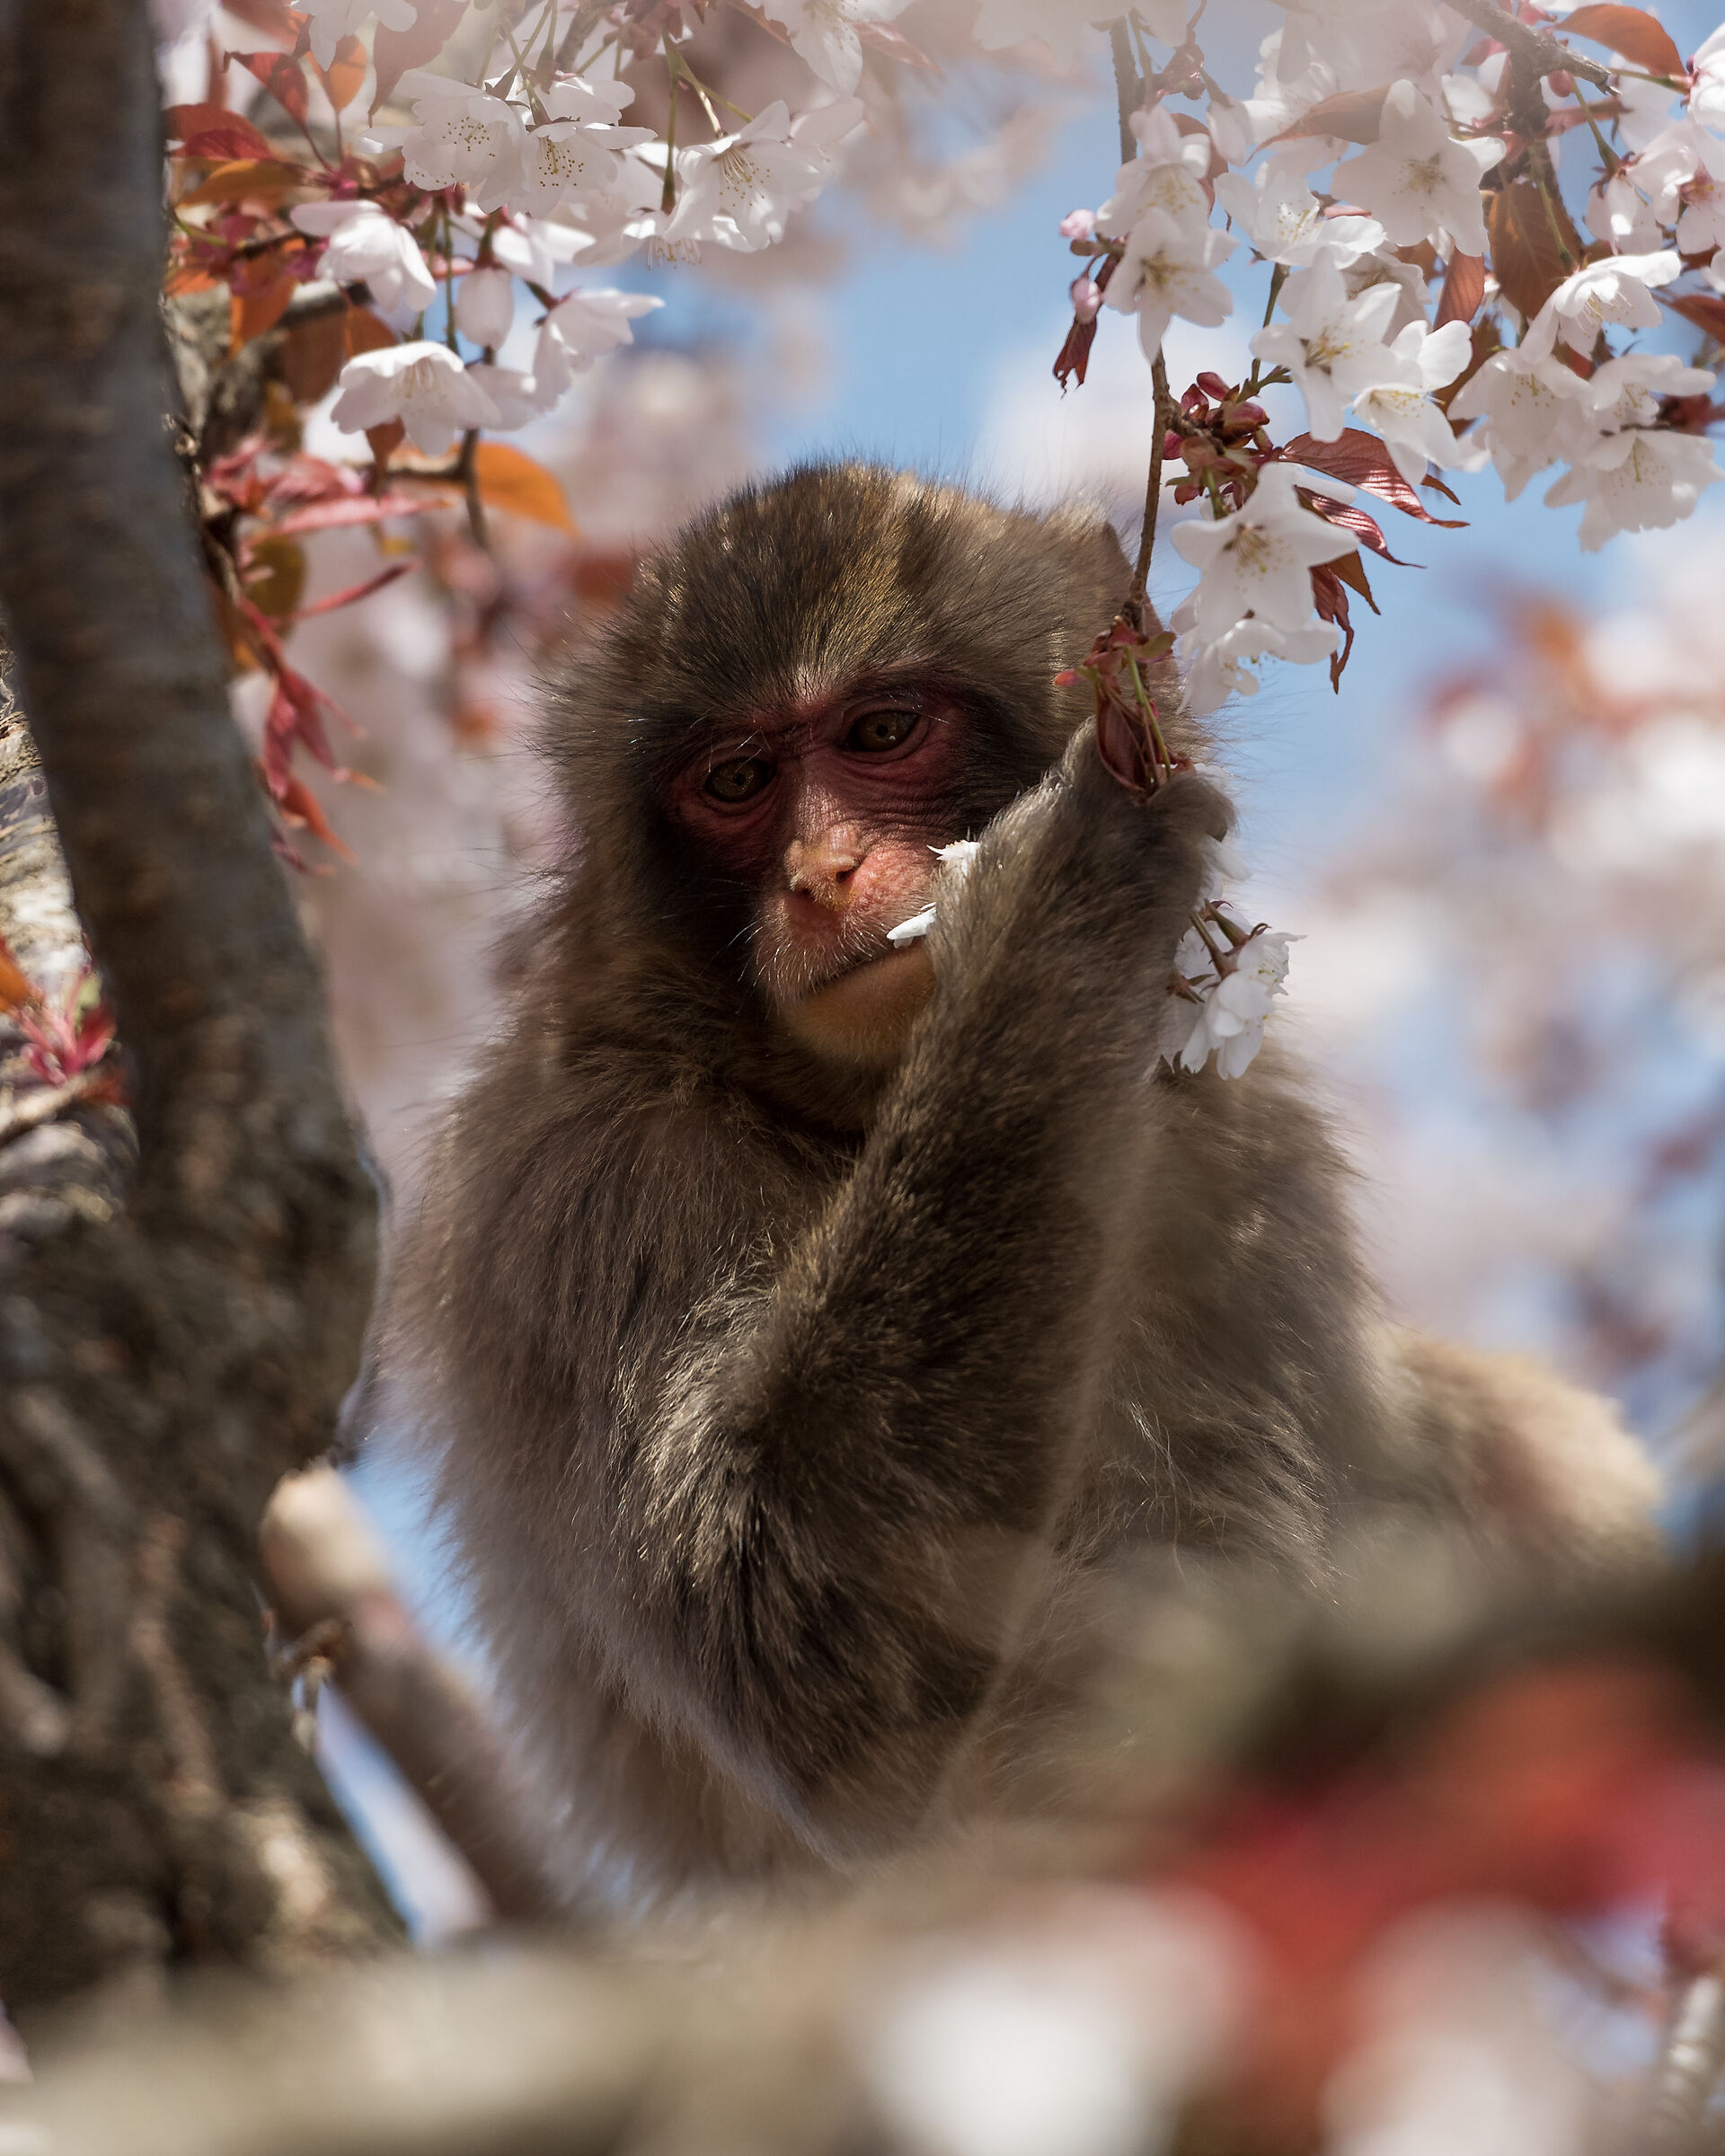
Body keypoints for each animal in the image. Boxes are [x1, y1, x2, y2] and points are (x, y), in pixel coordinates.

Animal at [382, 462, 1660, 1913]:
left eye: (881, 730)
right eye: (738, 780)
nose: (820, 873)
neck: (829, 1105)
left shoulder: (1240, 1133)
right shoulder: (582, 1181)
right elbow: (798, 1644)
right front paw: (1056, 900)